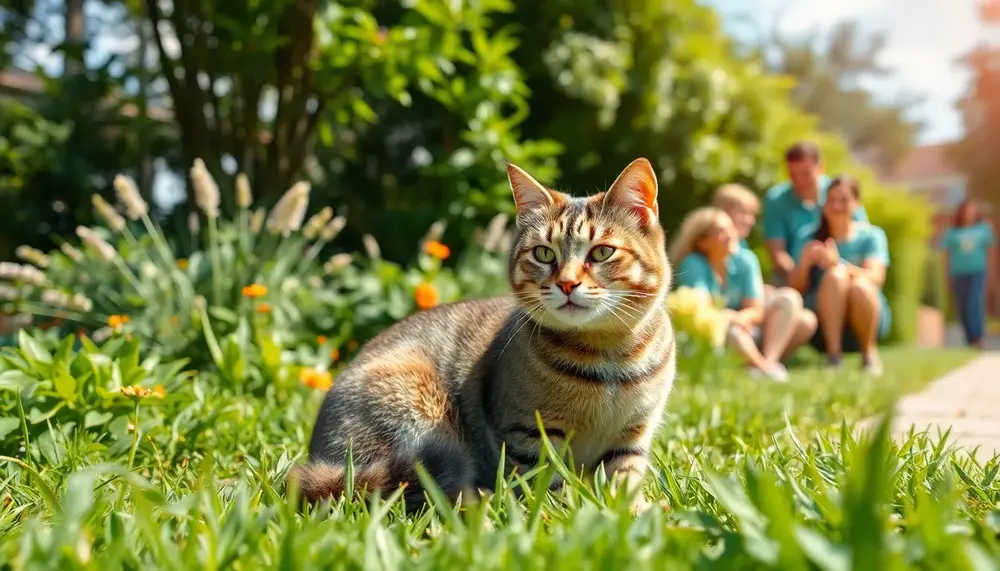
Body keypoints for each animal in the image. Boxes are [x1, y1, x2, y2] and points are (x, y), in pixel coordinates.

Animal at [292, 158, 680, 512]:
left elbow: (624, 481)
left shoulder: (633, 434)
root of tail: (319, 456)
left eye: (602, 251)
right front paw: (554, 514)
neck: (609, 356)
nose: (567, 283)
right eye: (543, 253)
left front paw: (634, 512)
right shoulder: (529, 431)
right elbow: (543, 482)